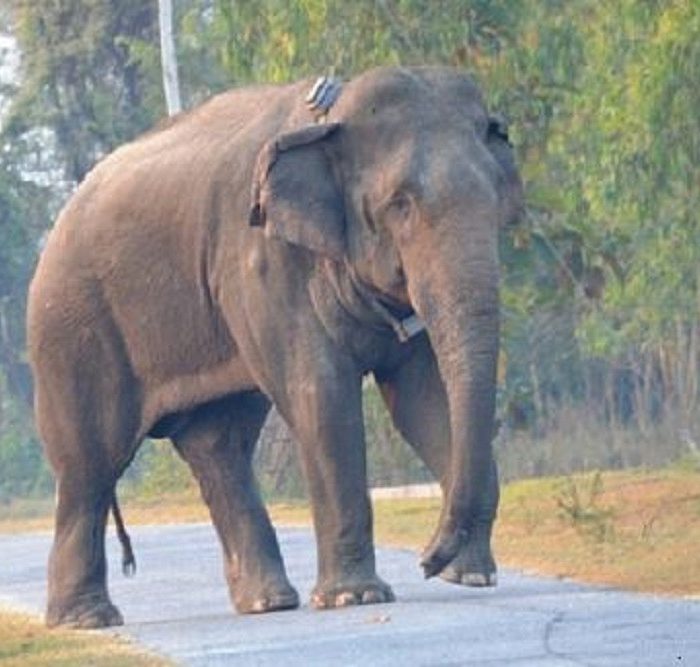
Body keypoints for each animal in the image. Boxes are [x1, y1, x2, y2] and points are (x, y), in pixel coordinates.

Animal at [26, 65, 520, 628]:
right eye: (400, 203)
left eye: (496, 199)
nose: (427, 560)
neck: (332, 115)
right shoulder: (263, 260)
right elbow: (321, 396)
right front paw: (357, 598)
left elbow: (423, 398)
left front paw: (471, 576)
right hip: (72, 327)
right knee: (90, 463)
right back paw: (86, 620)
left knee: (219, 446)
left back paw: (267, 602)